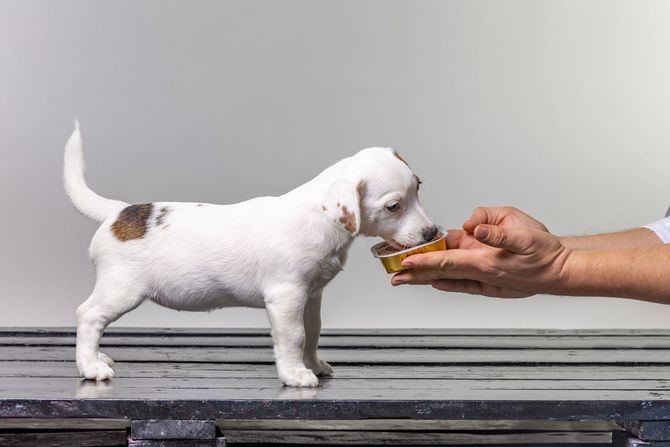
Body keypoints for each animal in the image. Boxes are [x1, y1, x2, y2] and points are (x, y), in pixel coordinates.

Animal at [65, 123, 438, 388]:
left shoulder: (311, 296)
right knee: (89, 316)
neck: (320, 218)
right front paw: (296, 375)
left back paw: (99, 357)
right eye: (393, 206)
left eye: (419, 188)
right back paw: (90, 366)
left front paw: (314, 364)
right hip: (121, 289)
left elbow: (313, 332)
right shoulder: (286, 297)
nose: (432, 233)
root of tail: (119, 213)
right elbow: (294, 336)